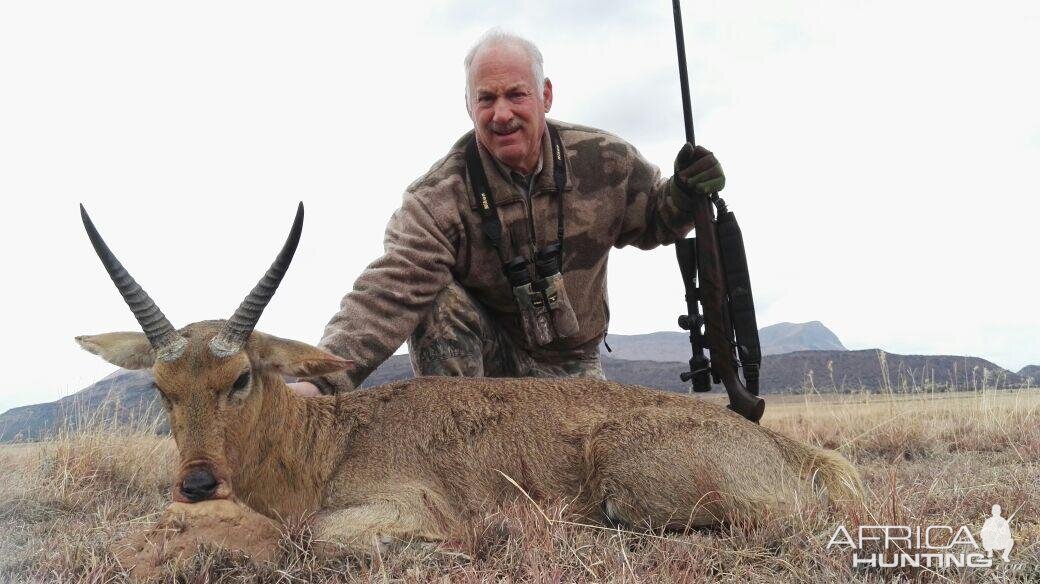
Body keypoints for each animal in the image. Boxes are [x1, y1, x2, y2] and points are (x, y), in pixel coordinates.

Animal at [75, 203, 861, 548]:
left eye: (239, 378)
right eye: (160, 389)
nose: (197, 483)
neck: (324, 446)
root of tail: (796, 453)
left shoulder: (404, 511)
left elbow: (318, 535)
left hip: (634, 488)